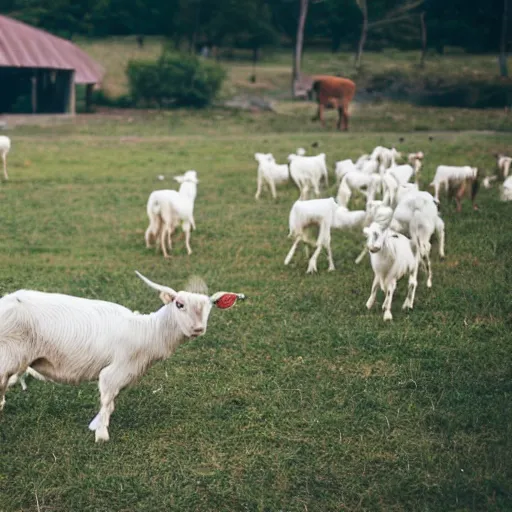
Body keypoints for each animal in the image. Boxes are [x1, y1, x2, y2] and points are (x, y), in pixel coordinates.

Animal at [0, 270, 246, 442]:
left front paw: (97, 424)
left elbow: (110, 404)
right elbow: (107, 399)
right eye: (179, 304)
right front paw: (101, 435)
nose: (198, 329)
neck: (148, 331)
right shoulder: (113, 372)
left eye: (209, 308)